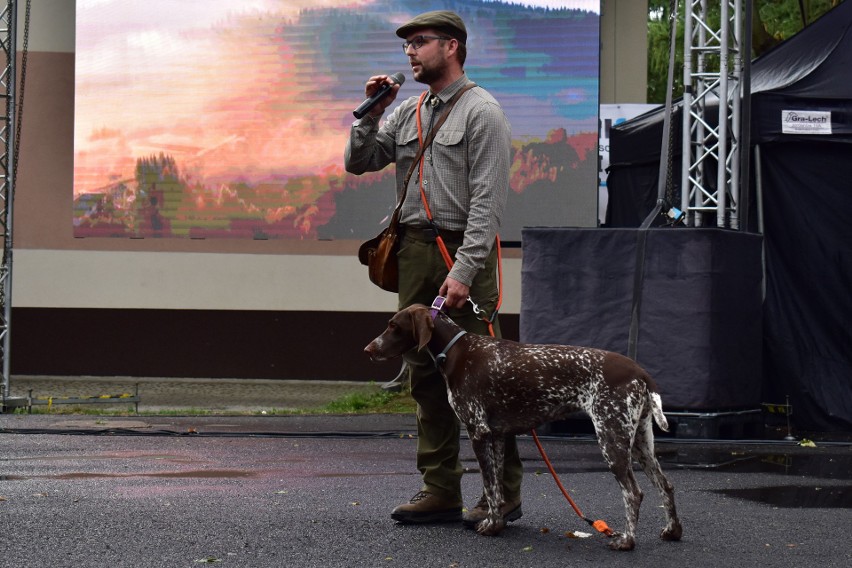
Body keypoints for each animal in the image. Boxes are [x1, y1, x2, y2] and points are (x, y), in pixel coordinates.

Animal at [362, 304, 684, 552]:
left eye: (393, 325)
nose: (368, 349)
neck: (457, 351)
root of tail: (640, 372)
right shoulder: (497, 435)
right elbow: (496, 488)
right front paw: (497, 523)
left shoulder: (478, 431)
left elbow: (490, 487)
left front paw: (491, 526)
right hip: (640, 442)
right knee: (666, 485)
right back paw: (673, 531)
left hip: (611, 437)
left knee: (633, 492)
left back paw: (626, 541)